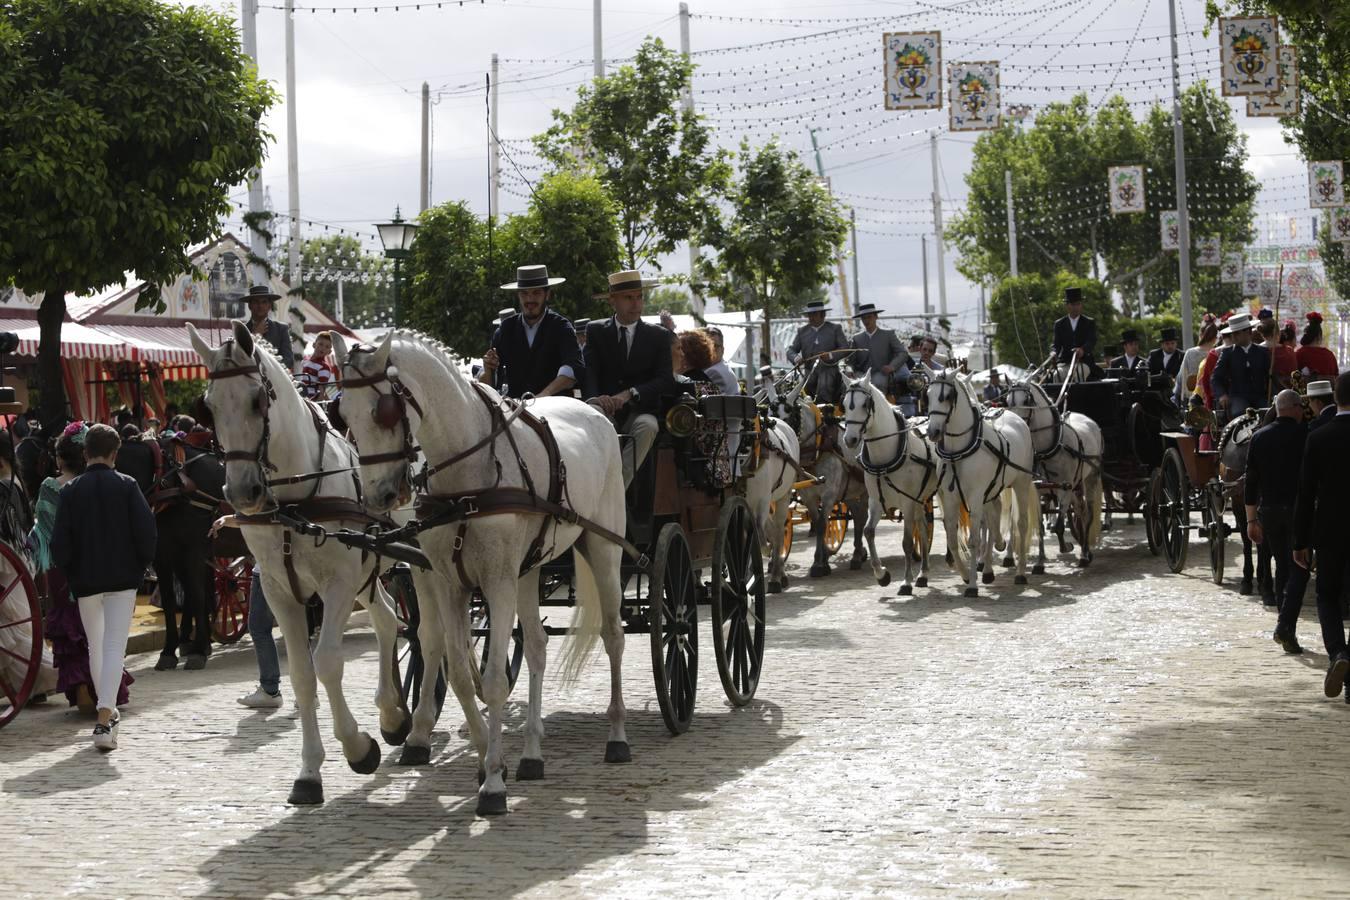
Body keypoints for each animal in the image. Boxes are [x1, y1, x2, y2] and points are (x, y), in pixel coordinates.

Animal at [186, 319, 405, 804]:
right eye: (209, 407)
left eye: (256, 399)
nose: (242, 492)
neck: (292, 502)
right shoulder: (278, 590)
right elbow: (303, 675)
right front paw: (309, 772)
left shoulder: (337, 584)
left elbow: (327, 663)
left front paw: (357, 747)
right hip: (369, 571)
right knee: (388, 621)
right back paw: (393, 714)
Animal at [337, 329, 631, 814]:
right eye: (341, 412)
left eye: (384, 409)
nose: (379, 496)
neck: (467, 477)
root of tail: (595, 411)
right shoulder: (451, 582)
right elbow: (458, 672)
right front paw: (487, 763)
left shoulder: (496, 583)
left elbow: (492, 681)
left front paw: (493, 783)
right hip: (528, 570)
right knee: (536, 646)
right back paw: (531, 753)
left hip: (603, 550)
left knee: (613, 637)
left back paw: (618, 736)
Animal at [831, 375, 939, 599]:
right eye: (844, 404)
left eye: (865, 404)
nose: (850, 439)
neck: (884, 458)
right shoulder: (875, 501)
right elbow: (868, 532)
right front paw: (882, 575)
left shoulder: (906, 502)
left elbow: (907, 542)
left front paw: (906, 582)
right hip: (919, 498)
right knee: (923, 527)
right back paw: (923, 574)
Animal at [923, 369, 1036, 593]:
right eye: (928, 395)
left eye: (947, 396)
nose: (932, 432)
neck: (958, 451)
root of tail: (1015, 417)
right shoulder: (951, 497)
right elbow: (952, 538)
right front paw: (967, 575)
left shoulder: (975, 496)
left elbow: (974, 539)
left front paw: (973, 586)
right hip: (993, 489)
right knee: (994, 516)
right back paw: (996, 556)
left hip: (1021, 483)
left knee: (1020, 523)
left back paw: (1020, 572)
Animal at [1009, 383, 1101, 566]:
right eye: (1007, 401)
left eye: (1027, 400)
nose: (1018, 425)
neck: (1048, 450)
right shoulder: (1038, 491)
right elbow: (1040, 527)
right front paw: (1039, 563)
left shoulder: (1064, 490)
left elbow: (1058, 526)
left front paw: (1066, 547)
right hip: (1076, 484)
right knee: (1080, 511)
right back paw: (1085, 549)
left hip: (1090, 478)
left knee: (1088, 514)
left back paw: (1085, 554)